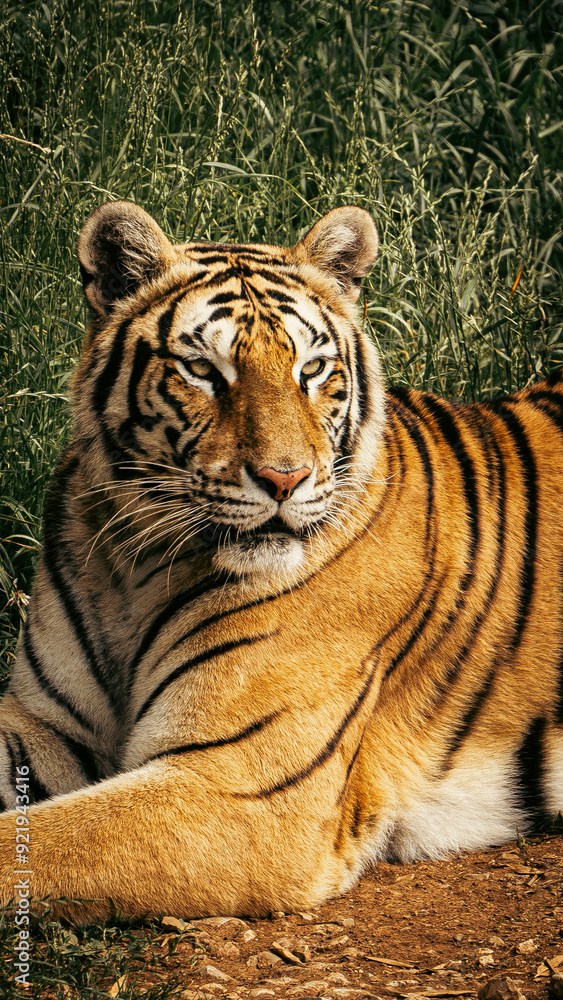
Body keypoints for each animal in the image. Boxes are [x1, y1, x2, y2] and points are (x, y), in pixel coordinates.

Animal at [0, 200, 562, 925]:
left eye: (313, 369)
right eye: (203, 370)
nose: (284, 479)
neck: (134, 563)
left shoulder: (235, 787)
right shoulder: (44, 723)